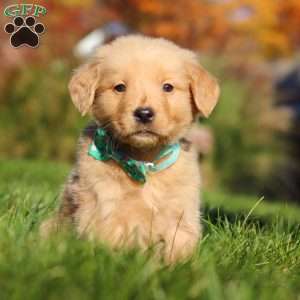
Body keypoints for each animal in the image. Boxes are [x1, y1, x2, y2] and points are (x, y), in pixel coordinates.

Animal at [41, 34, 220, 262]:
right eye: (120, 87)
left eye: (168, 87)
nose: (144, 113)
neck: (143, 161)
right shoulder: (103, 207)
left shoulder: (180, 213)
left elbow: (176, 248)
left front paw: (175, 266)